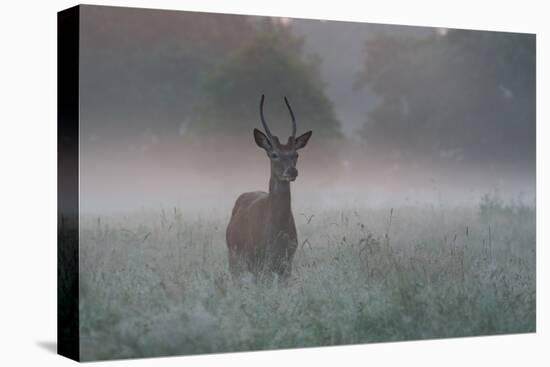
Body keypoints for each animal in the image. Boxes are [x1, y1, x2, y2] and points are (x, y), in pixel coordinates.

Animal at [226, 95, 312, 282]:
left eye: (296, 154)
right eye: (274, 154)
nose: (292, 171)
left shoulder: (287, 261)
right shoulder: (259, 262)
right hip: (234, 257)